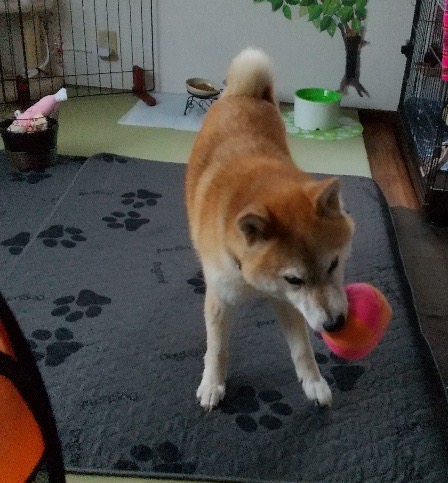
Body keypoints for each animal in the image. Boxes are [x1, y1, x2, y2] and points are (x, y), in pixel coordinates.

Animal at [185, 48, 354, 411]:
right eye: (294, 278)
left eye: (334, 265)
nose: (335, 325)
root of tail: (242, 94)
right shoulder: (220, 300)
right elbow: (216, 348)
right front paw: (212, 384)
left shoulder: (290, 304)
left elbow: (302, 349)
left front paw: (314, 383)